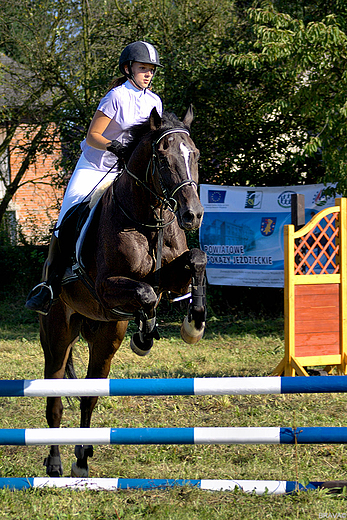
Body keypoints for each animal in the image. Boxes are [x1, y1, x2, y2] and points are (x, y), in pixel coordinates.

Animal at [41, 105, 209, 480]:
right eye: (163, 159)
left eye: (195, 155)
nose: (192, 215)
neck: (149, 218)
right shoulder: (106, 287)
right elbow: (145, 292)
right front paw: (145, 335)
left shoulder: (173, 276)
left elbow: (197, 261)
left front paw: (194, 324)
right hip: (58, 332)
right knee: (55, 399)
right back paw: (55, 462)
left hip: (105, 337)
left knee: (89, 396)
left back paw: (82, 459)